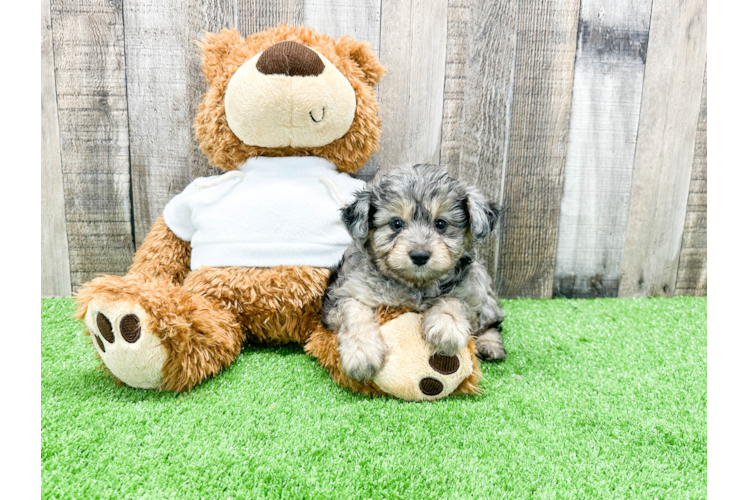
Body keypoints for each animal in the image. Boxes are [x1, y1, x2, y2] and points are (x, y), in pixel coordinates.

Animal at [322, 162, 508, 380]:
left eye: (441, 223)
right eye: (396, 223)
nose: (420, 255)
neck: (414, 285)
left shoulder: (468, 290)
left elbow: (454, 300)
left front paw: (447, 327)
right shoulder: (345, 292)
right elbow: (354, 311)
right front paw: (362, 352)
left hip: (483, 287)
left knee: (492, 322)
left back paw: (489, 345)